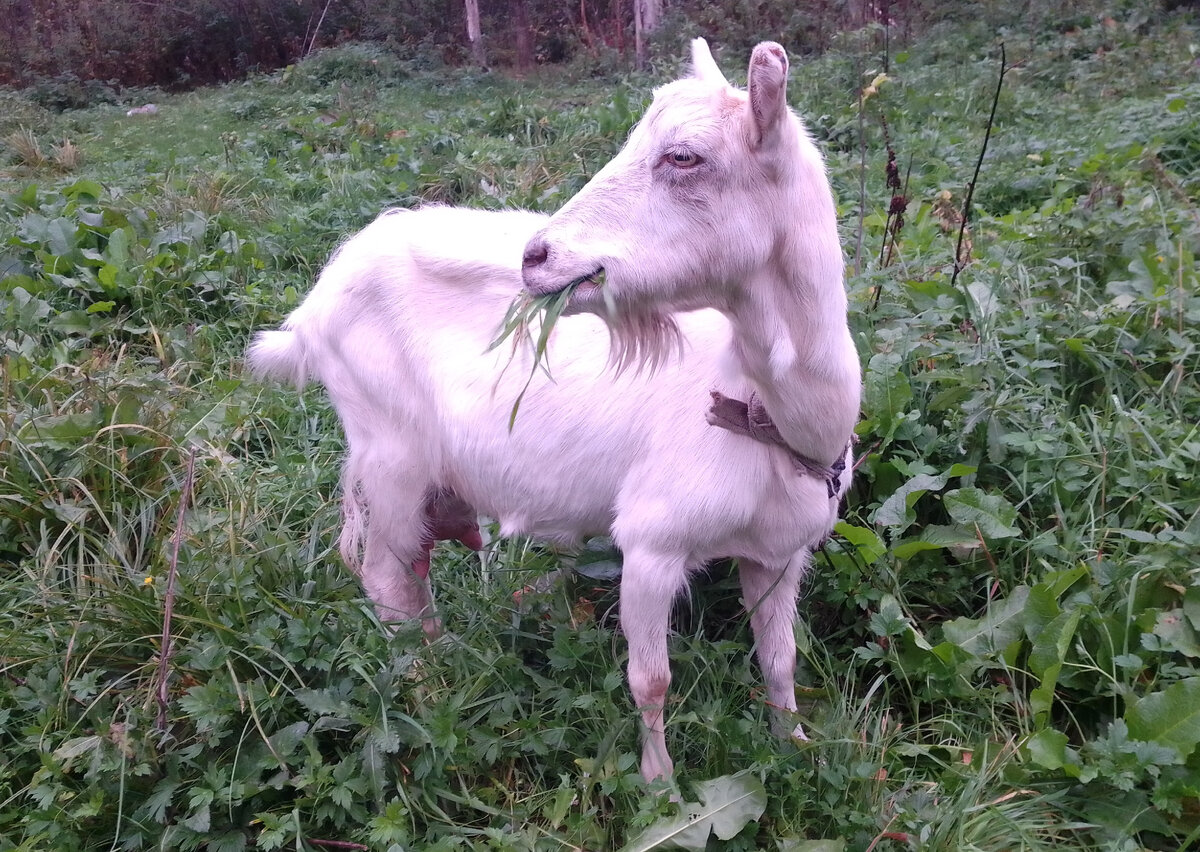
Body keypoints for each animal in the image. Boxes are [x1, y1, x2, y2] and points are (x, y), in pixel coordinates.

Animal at [248, 41, 859, 787]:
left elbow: (779, 659)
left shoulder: (779, 552)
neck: (767, 410)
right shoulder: (650, 543)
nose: (535, 257)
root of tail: (311, 310)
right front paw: (659, 785)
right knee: (389, 582)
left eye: (684, 157)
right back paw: (427, 686)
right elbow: (650, 681)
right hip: (389, 459)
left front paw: (793, 748)